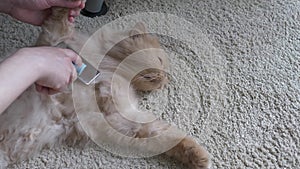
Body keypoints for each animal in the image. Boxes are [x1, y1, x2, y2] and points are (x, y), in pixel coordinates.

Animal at [0, 2, 211, 169]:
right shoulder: (50, 47)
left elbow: (168, 137)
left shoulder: (123, 118)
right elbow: (60, 25)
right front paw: (67, 8)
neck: (112, 66)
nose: (167, 79)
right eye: (160, 60)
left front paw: (199, 158)